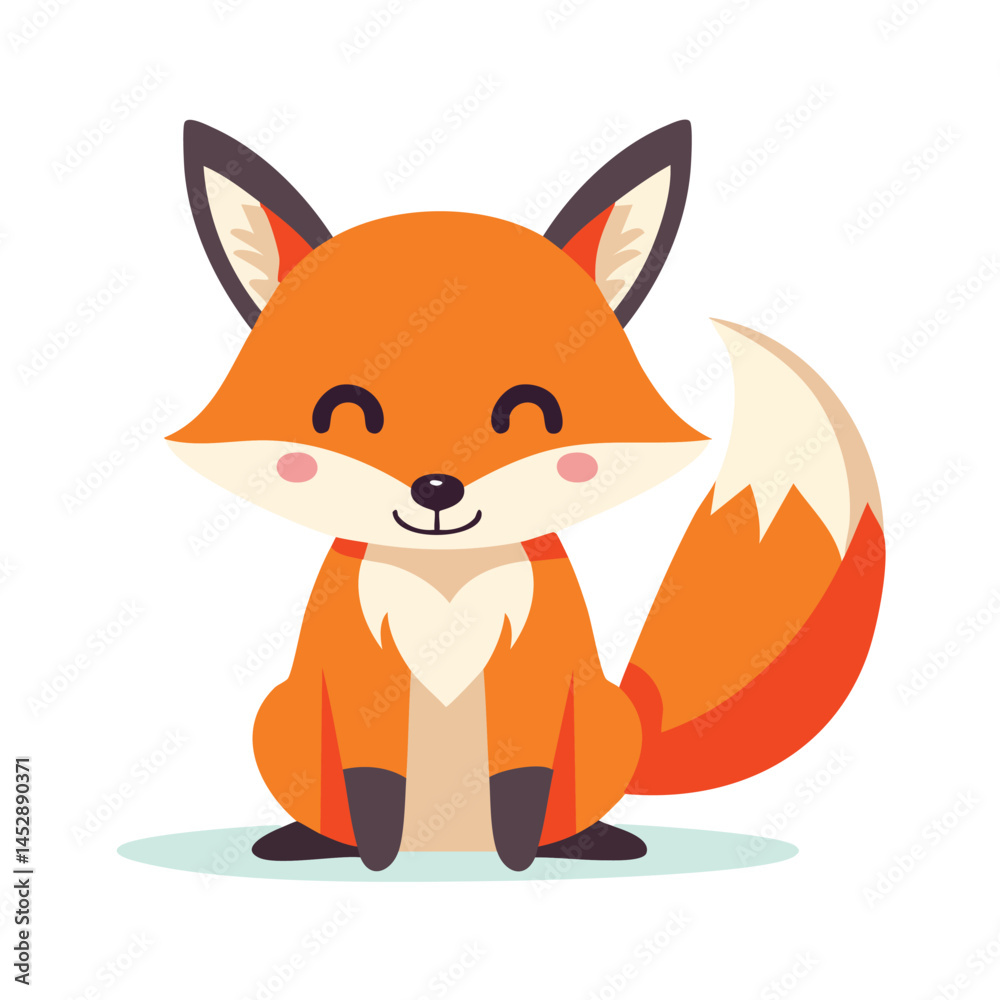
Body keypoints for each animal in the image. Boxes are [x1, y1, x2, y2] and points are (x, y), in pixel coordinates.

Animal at [168, 119, 885, 871]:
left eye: (531, 413)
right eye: (341, 414)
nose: (437, 488)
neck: (446, 581)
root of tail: (448, 847)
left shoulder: (534, 665)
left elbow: (522, 779)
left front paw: (516, 860)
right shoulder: (358, 666)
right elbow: (374, 782)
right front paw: (378, 860)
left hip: (602, 722)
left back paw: (588, 842)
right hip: (280, 716)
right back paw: (304, 841)